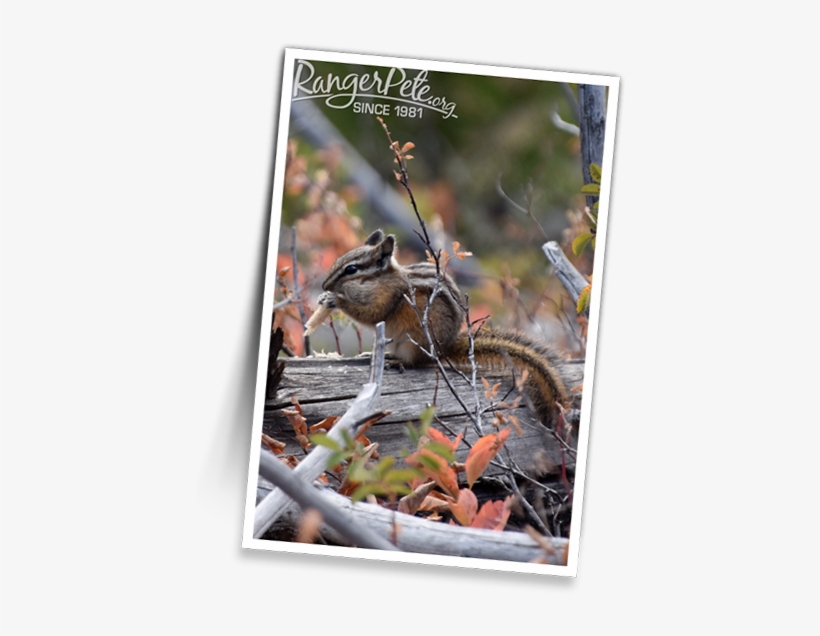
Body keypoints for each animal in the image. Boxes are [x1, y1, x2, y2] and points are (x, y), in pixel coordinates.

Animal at [310, 229, 570, 427]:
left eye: (351, 270)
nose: (323, 285)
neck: (380, 281)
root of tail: (446, 347)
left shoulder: (390, 296)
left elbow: (372, 314)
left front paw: (336, 300)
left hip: (415, 342)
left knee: (417, 363)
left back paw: (398, 361)